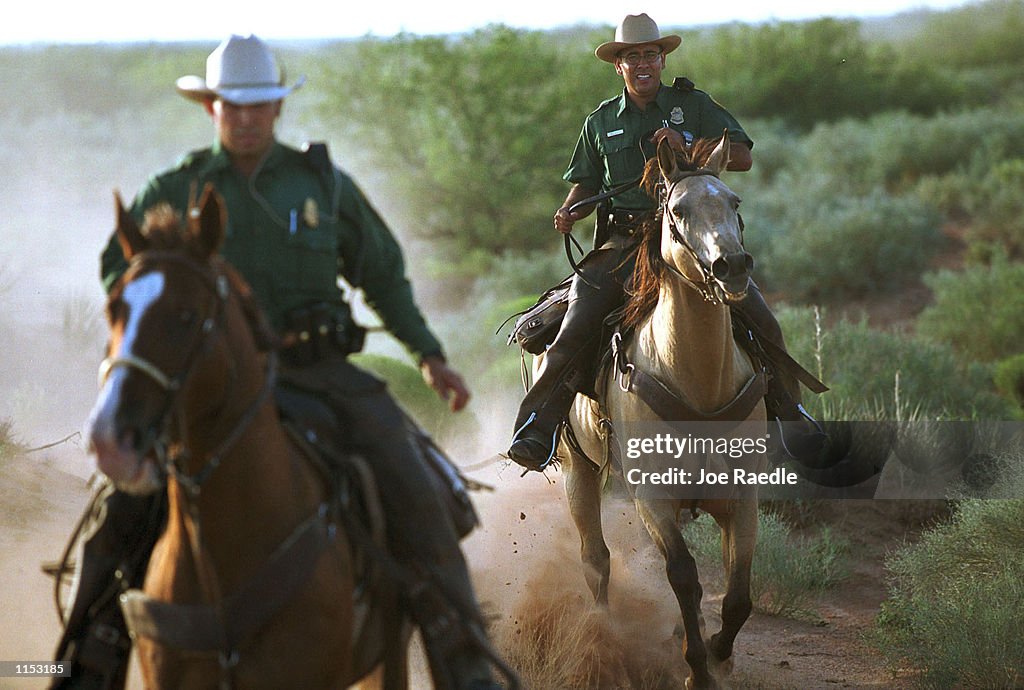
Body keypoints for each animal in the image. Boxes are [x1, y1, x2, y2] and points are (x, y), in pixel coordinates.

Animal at [548, 132, 765, 683]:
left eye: (734, 202)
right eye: (679, 210)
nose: (732, 267)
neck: (698, 383)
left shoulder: (743, 498)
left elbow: (739, 592)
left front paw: (719, 654)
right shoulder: (654, 498)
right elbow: (684, 577)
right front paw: (696, 669)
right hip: (578, 471)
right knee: (596, 559)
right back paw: (604, 637)